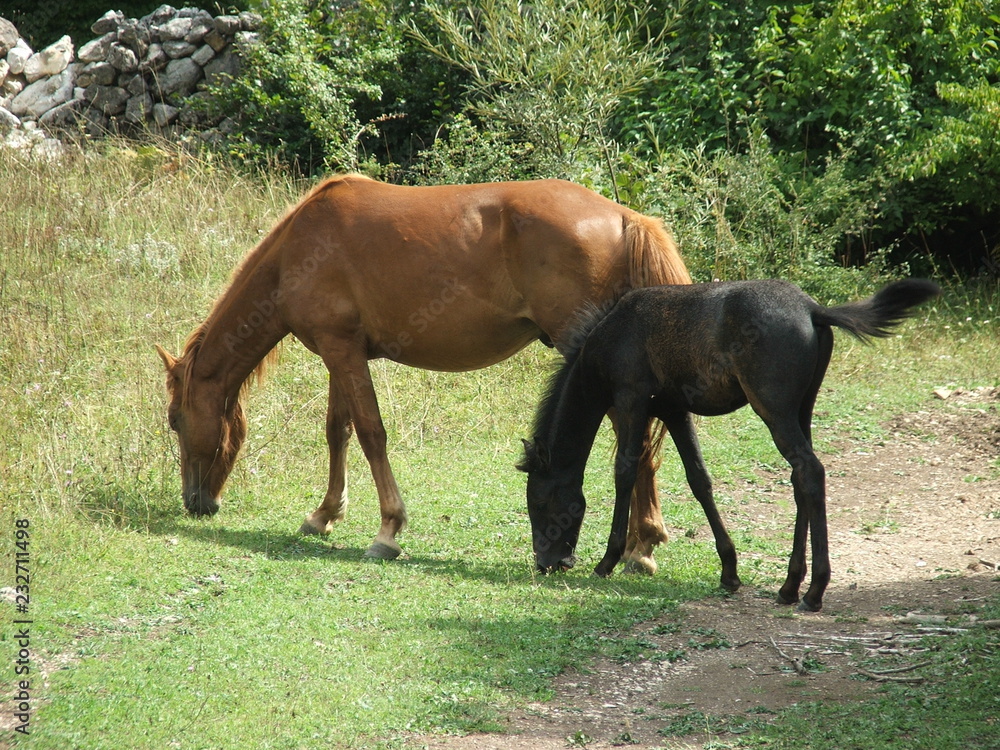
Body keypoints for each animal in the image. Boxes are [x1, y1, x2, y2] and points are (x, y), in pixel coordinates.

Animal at [156, 174, 691, 566]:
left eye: (175, 421)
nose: (196, 502)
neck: (297, 249)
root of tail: (625, 217)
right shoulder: (339, 351)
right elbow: (338, 431)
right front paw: (324, 514)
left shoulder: (342, 351)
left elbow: (371, 433)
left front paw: (387, 530)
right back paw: (643, 543)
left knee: (633, 437)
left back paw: (640, 547)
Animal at [518, 278, 940, 611]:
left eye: (538, 502)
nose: (547, 562)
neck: (606, 339)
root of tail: (813, 309)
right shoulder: (674, 410)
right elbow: (699, 480)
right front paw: (729, 571)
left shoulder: (631, 400)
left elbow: (625, 472)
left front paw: (607, 561)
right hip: (802, 410)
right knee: (800, 479)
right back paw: (790, 586)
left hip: (773, 408)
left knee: (809, 471)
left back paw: (814, 590)